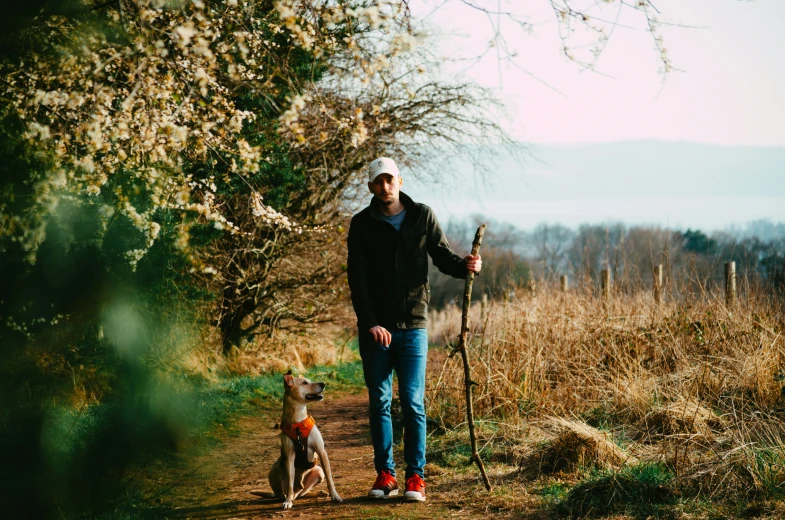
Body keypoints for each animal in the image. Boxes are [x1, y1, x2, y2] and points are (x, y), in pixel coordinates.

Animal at [266, 372, 340, 510]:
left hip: (318, 471)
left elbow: (330, 479)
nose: (323, 383)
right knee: (287, 492)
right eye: (305, 383)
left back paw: (318, 493)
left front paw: (335, 495)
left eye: (309, 380)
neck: (298, 423)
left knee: (301, 491)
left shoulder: (321, 452)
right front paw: (288, 502)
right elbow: (289, 483)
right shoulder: (289, 456)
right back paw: (289, 498)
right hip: (274, 470)